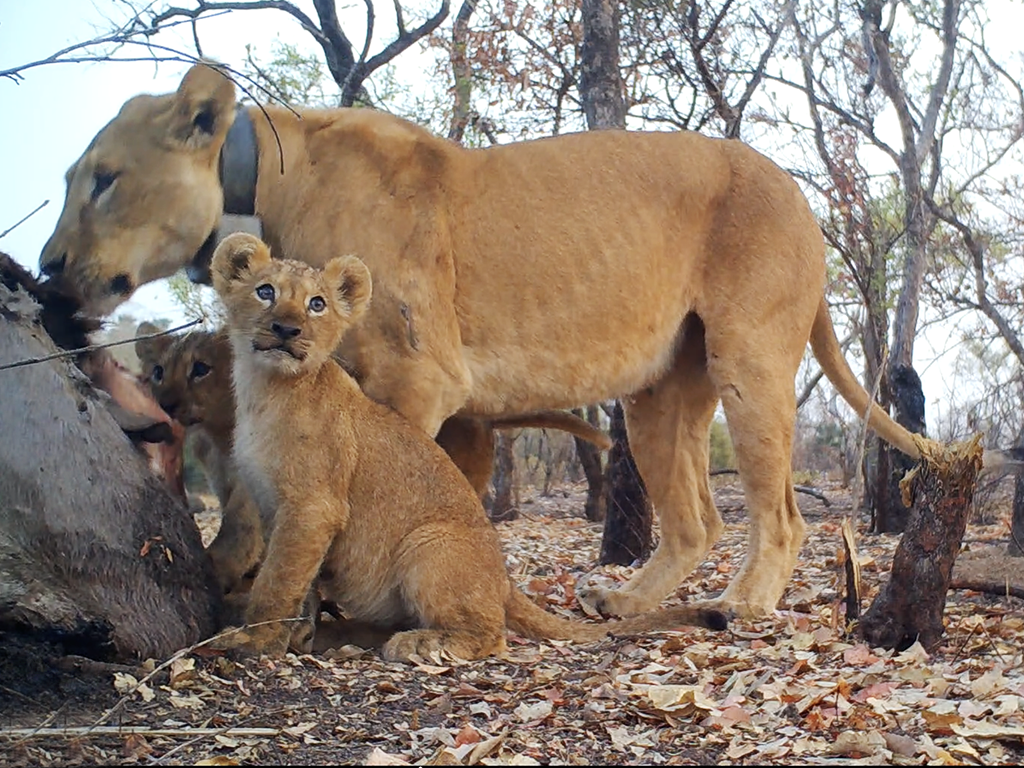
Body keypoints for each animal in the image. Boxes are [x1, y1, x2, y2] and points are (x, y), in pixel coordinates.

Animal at [207, 233, 727, 660]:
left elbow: (277, 581)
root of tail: (506, 580)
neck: (265, 390)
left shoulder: (314, 506)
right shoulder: (277, 508)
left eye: (316, 304)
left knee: (491, 635)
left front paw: (254, 641)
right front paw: (297, 633)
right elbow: (301, 583)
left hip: (429, 542)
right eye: (266, 291)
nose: (287, 329)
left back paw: (418, 644)